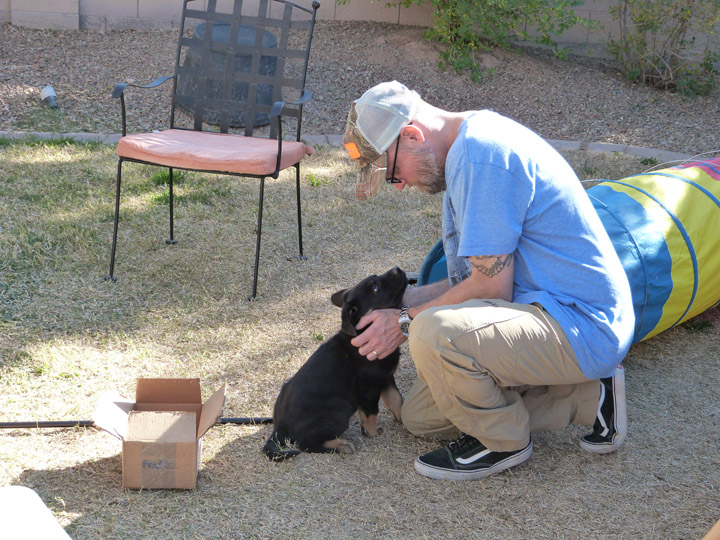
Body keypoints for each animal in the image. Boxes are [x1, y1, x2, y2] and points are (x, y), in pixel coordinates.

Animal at [264, 266, 410, 460]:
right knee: (305, 443)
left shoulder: (386, 378)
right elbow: (371, 412)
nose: (397, 269)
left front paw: (403, 418)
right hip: (339, 412)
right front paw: (372, 433)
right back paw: (341, 445)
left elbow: (396, 399)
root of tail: (280, 426)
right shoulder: (369, 387)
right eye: (375, 288)